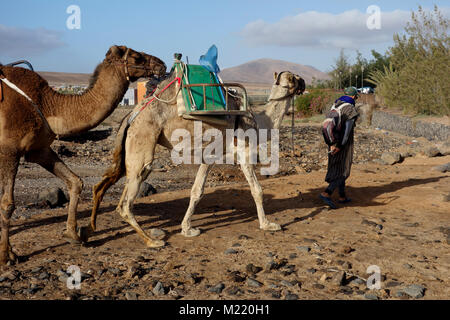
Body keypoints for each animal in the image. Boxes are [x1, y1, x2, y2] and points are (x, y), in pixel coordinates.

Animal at [0, 45, 167, 264]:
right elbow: (7, 204)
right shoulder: (9, 149)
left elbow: (75, 181)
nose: (161, 64)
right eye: (136, 56)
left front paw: (73, 234)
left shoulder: (38, 149)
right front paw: (7, 255)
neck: (48, 104)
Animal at [88, 68, 306, 248]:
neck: (259, 122)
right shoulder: (243, 152)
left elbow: (196, 191)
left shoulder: (210, 155)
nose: (304, 82)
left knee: (112, 182)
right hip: (143, 137)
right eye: (293, 77)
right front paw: (268, 224)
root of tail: (131, 115)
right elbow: (257, 190)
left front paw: (187, 229)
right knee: (128, 197)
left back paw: (92, 228)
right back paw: (152, 241)